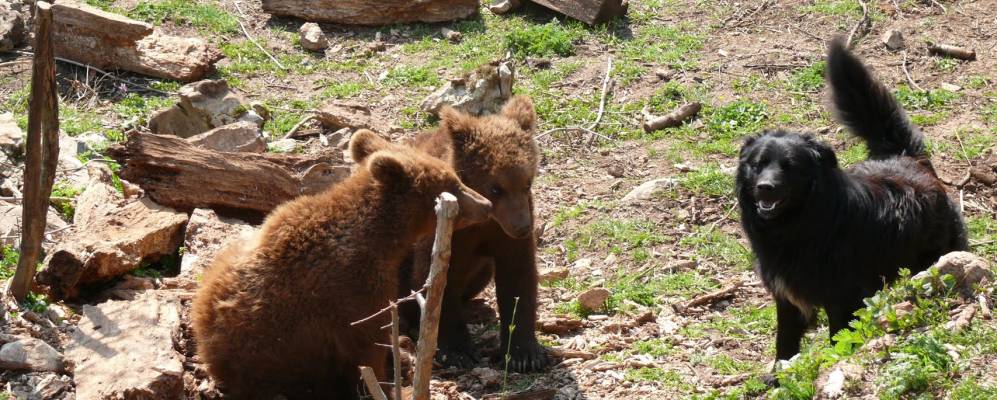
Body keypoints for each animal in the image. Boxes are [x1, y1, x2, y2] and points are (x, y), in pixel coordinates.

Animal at [740, 38, 964, 362]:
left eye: (790, 166)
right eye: (758, 164)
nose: (765, 188)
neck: (803, 224)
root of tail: (909, 158)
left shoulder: (842, 299)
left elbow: (838, 339)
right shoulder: (788, 300)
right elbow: (785, 345)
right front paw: (781, 372)